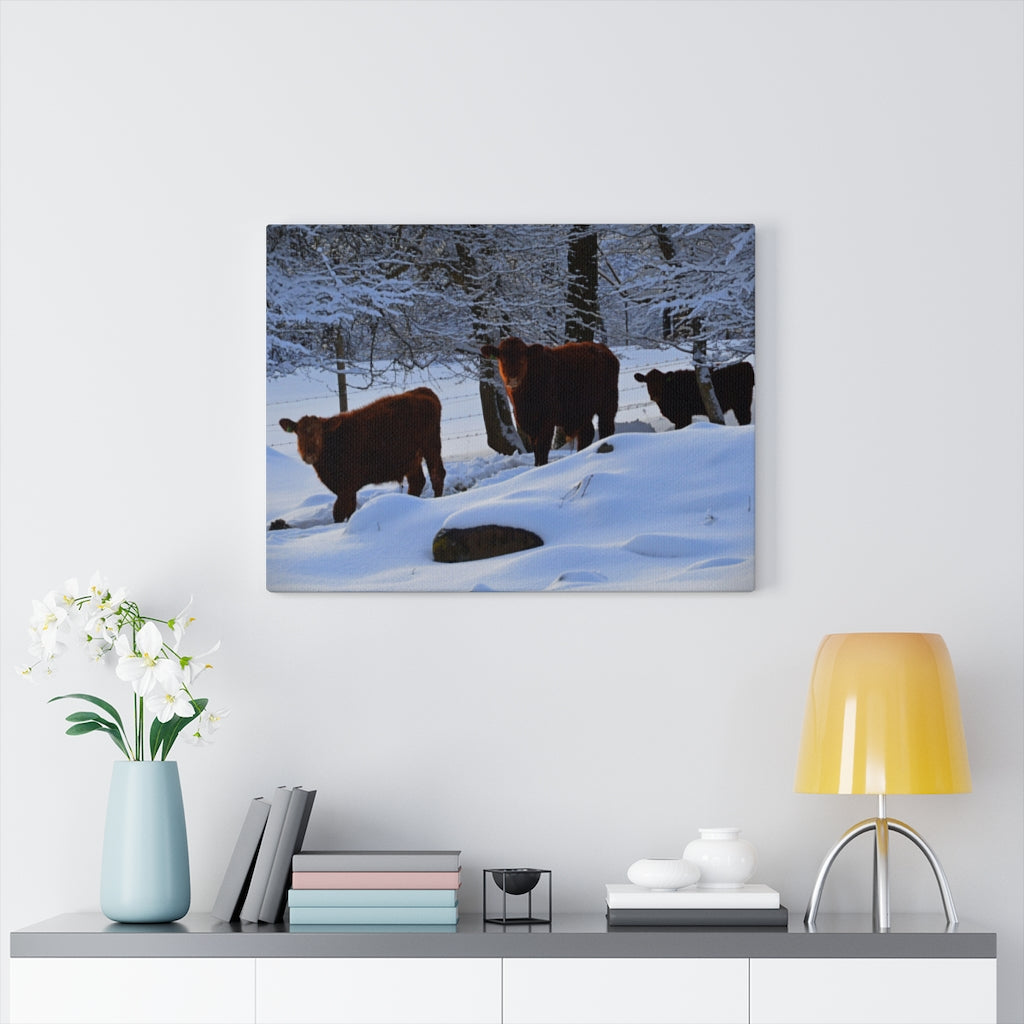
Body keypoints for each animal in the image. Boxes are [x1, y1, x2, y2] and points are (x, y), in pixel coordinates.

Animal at [279, 387, 446, 524]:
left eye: (320, 433)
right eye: (298, 434)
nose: (309, 454)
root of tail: (422, 391)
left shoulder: (346, 487)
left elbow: (339, 513)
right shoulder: (347, 489)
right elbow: (349, 511)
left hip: (431, 446)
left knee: (437, 474)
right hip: (411, 459)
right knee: (418, 482)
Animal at [480, 336, 619, 467]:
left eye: (523, 358)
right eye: (502, 358)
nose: (512, 378)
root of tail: (602, 349)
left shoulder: (547, 421)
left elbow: (542, 449)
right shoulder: (529, 424)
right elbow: (536, 451)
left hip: (608, 405)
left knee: (606, 429)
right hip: (582, 412)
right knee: (586, 433)